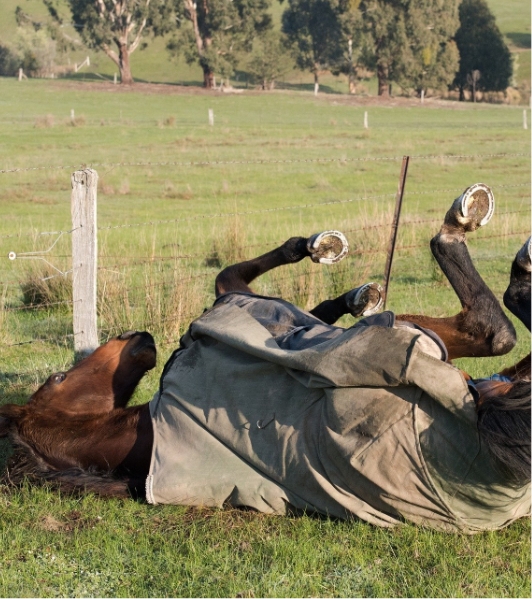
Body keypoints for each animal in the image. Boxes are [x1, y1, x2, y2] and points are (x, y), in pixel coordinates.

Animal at [0, 185, 528, 532]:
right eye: (58, 376)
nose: (137, 336)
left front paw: (338, 275)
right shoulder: (235, 305)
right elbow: (235, 277)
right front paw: (325, 261)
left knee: (494, 335)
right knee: (491, 329)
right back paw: (468, 233)